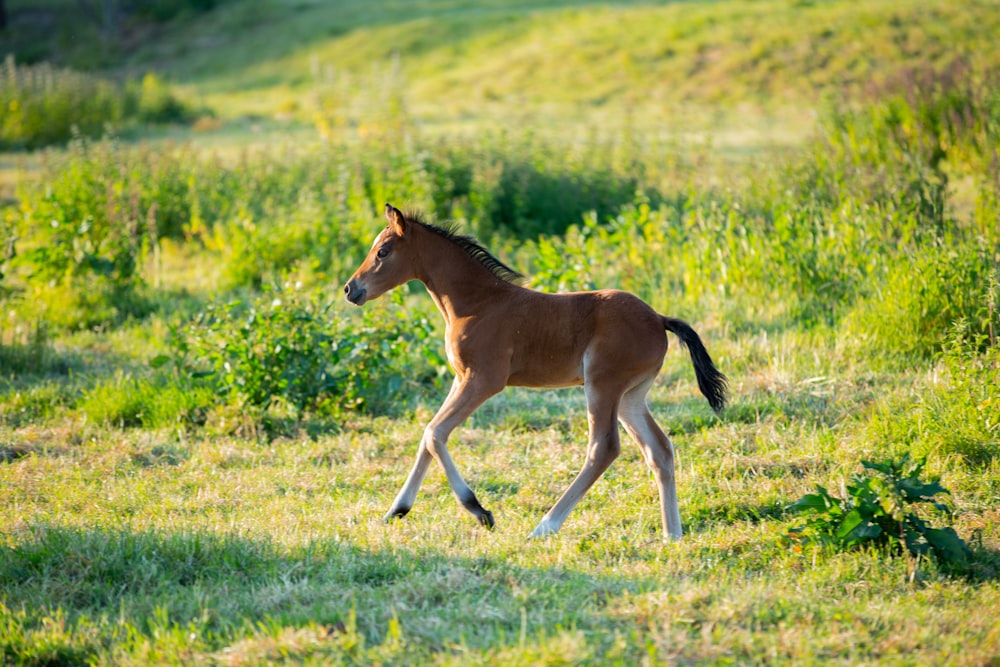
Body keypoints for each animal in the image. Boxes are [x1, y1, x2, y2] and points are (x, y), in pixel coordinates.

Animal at [344, 202, 728, 536]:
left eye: (383, 252)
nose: (350, 289)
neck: (477, 303)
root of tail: (659, 318)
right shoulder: (460, 378)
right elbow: (428, 434)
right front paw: (396, 510)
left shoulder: (484, 380)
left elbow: (435, 433)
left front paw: (480, 511)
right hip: (631, 395)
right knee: (659, 449)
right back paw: (672, 534)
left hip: (602, 385)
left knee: (604, 448)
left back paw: (545, 526)